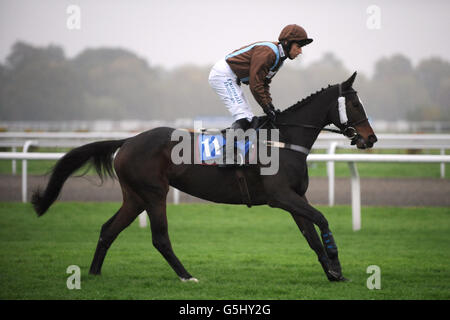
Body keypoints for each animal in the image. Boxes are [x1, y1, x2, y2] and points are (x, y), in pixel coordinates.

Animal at [31, 72, 376, 282]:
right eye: (355, 103)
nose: (370, 138)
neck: (283, 141)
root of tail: (128, 141)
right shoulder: (281, 197)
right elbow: (322, 221)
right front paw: (336, 264)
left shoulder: (295, 197)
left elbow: (310, 235)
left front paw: (332, 273)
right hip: (154, 193)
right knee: (160, 237)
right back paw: (186, 276)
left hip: (135, 196)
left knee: (108, 229)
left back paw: (94, 273)